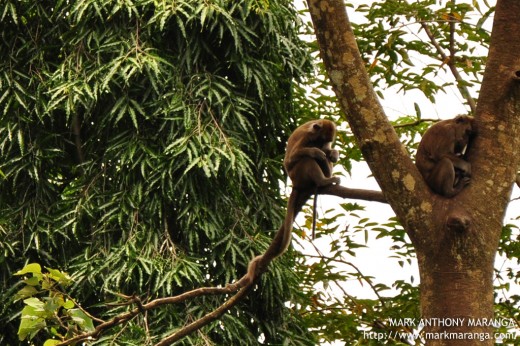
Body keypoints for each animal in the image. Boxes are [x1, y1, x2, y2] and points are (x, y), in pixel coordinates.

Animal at [241, 119, 342, 286]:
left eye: (327, 141)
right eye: (320, 140)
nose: (323, 146)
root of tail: (295, 183)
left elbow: (328, 154)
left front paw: (333, 153)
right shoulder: (305, 138)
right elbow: (291, 159)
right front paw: (316, 152)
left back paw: (326, 174)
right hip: (298, 174)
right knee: (306, 160)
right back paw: (323, 180)